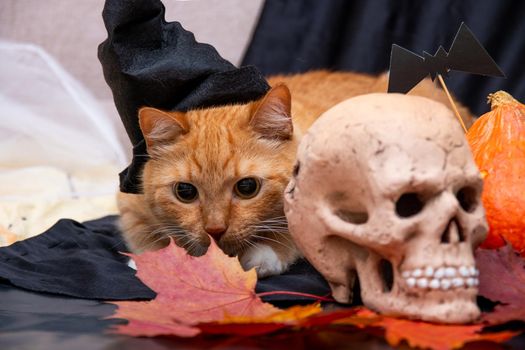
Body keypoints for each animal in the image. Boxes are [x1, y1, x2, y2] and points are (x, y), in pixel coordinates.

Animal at [116, 69, 468, 278]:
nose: (215, 230)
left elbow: (290, 237)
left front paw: (261, 255)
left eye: (247, 187)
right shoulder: (130, 207)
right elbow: (148, 239)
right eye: (185, 192)